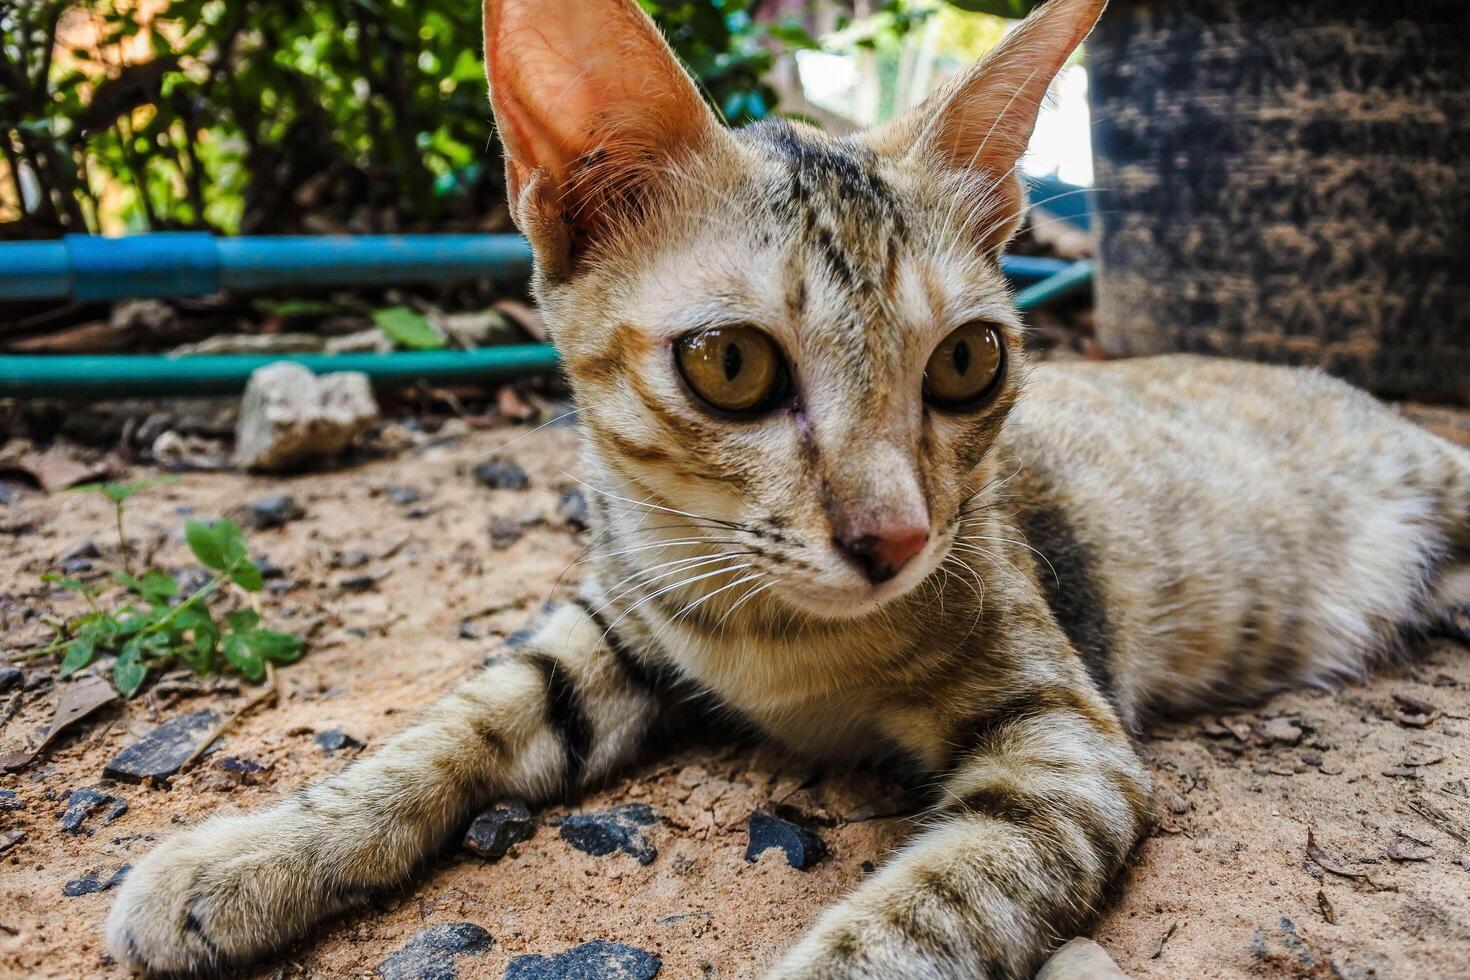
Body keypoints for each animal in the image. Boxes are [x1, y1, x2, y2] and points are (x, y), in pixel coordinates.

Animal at [106, 0, 1470, 975]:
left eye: (970, 361)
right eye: (731, 364)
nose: (898, 536)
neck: (775, 641)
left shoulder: (1066, 741)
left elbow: (929, 910)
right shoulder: (617, 614)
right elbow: (459, 718)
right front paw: (255, 852)